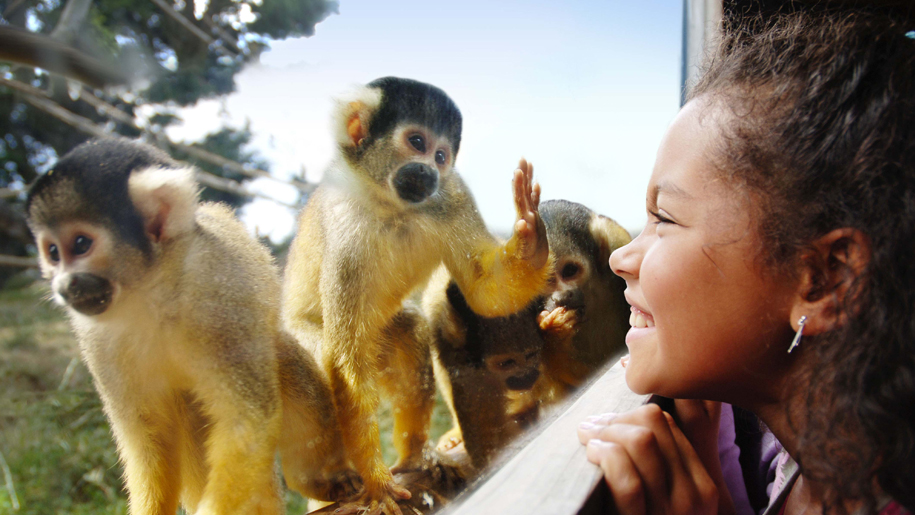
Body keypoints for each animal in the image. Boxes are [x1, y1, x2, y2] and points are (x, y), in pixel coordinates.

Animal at [27, 138, 358, 515]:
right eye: (53, 252)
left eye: (81, 244)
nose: (64, 285)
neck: (150, 291)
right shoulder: (96, 338)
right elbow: (149, 439)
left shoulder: (217, 296)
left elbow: (245, 422)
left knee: (279, 354)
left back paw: (316, 478)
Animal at [282, 77, 552, 515]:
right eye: (416, 142)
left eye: (441, 156)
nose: (428, 171)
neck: (391, 205)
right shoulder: (346, 226)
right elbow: (345, 361)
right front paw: (376, 482)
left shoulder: (453, 193)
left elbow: (485, 291)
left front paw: (529, 238)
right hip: (298, 334)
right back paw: (330, 481)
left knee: (409, 331)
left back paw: (416, 457)